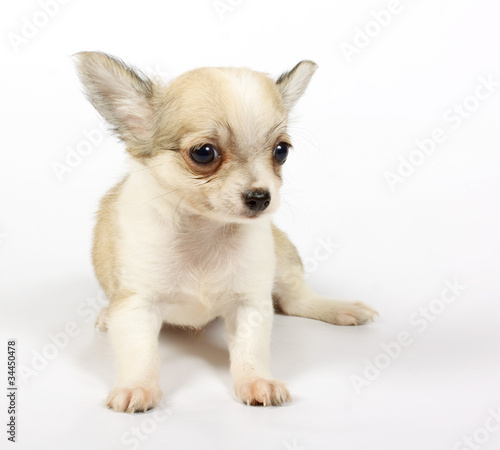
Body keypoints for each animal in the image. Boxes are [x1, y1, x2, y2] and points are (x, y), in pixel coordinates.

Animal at [75, 52, 378, 413]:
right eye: (203, 152)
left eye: (281, 151)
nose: (261, 197)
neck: (206, 231)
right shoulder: (136, 304)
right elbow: (142, 353)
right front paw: (137, 386)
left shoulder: (250, 303)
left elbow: (250, 350)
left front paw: (256, 381)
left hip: (283, 260)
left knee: (297, 301)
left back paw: (341, 309)